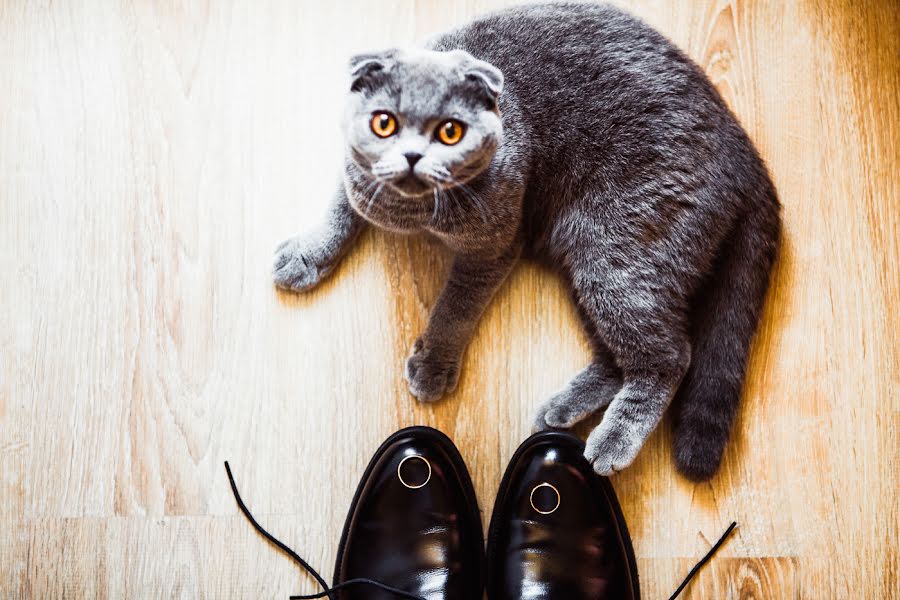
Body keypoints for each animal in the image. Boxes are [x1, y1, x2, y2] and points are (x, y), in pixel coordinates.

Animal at [274, 2, 780, 480]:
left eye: (450, 131)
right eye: (384, 123)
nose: (413, 157)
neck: (415, 211)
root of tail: (744, 151)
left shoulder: (497, 243)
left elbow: (457, 304)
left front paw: (433, 364)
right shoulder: (357, 171)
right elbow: (342, 206)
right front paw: (306, 254)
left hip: (617, 255)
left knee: (671, 356)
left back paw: (612, 441)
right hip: (584, 256)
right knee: (618, 357)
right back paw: (562, 412)